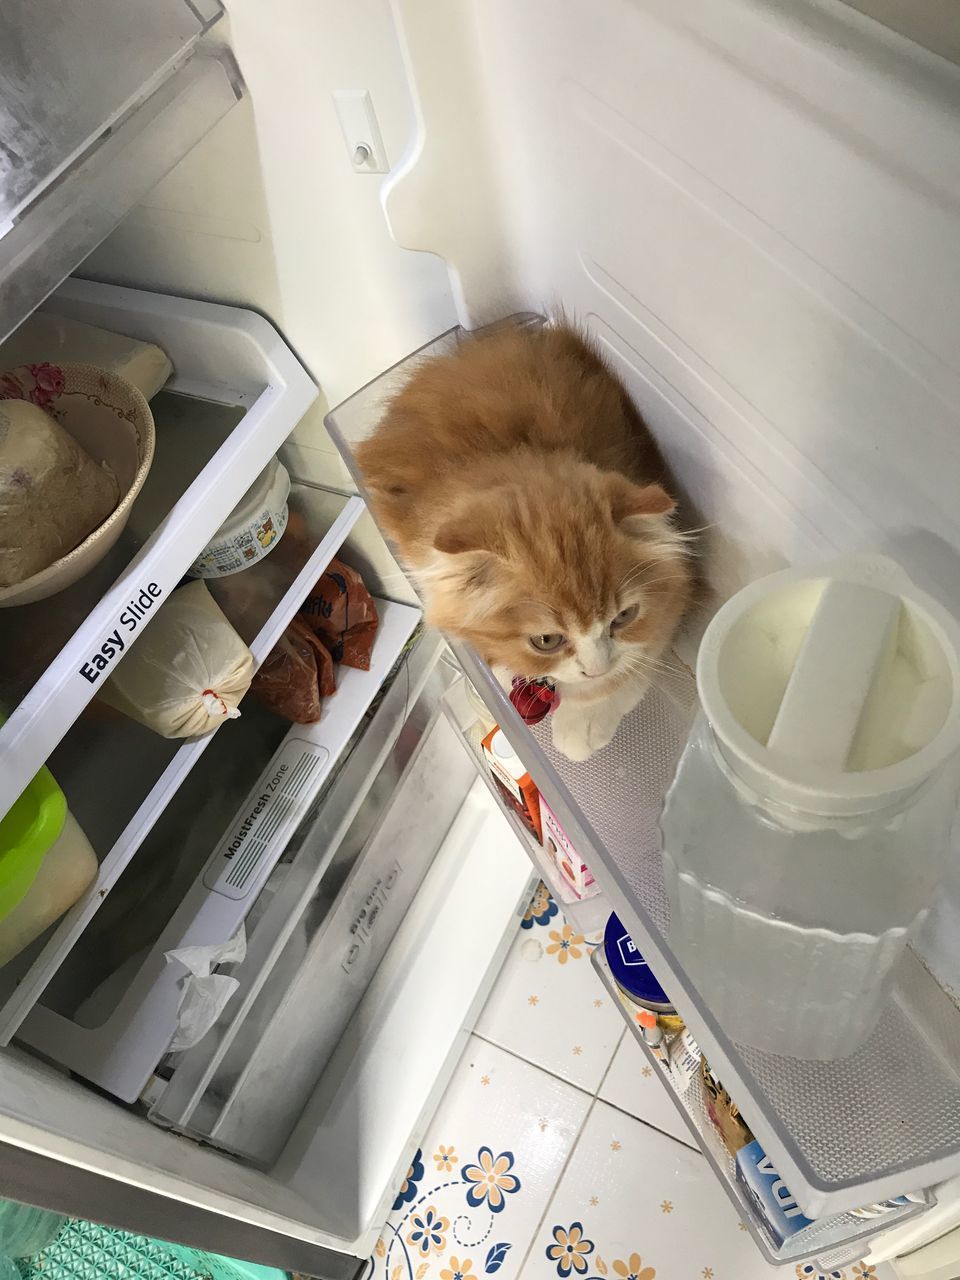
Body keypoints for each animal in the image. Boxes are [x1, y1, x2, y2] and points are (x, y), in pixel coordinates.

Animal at [358, 322, 691, 757]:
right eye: (546, 640)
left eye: (623, 617)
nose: (594, 667)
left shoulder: (673, 597)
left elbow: (635, 660)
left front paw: (583, 719)